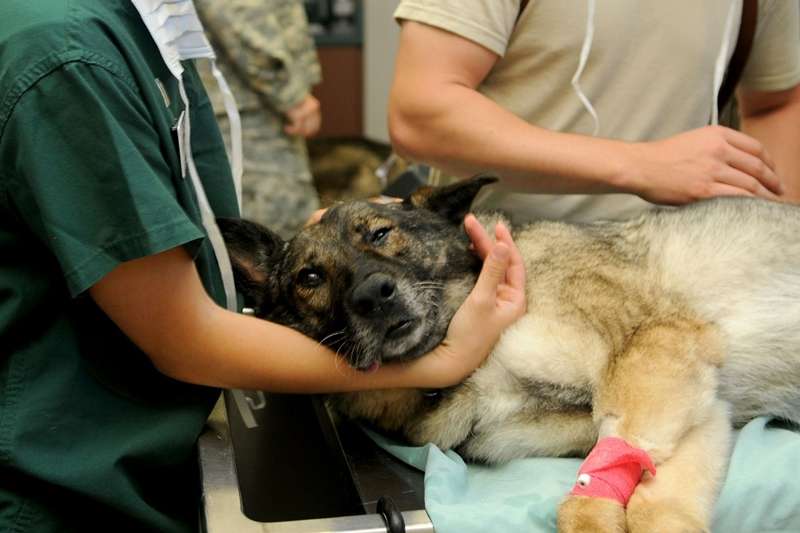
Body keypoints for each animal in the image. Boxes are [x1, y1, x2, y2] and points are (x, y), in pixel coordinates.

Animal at [219, 179, 800, 532]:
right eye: (310, 277)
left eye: (382, 233)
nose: (373, 295)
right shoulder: (697, 407)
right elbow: (649, 495)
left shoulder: (659, 350)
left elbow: (607, 491)